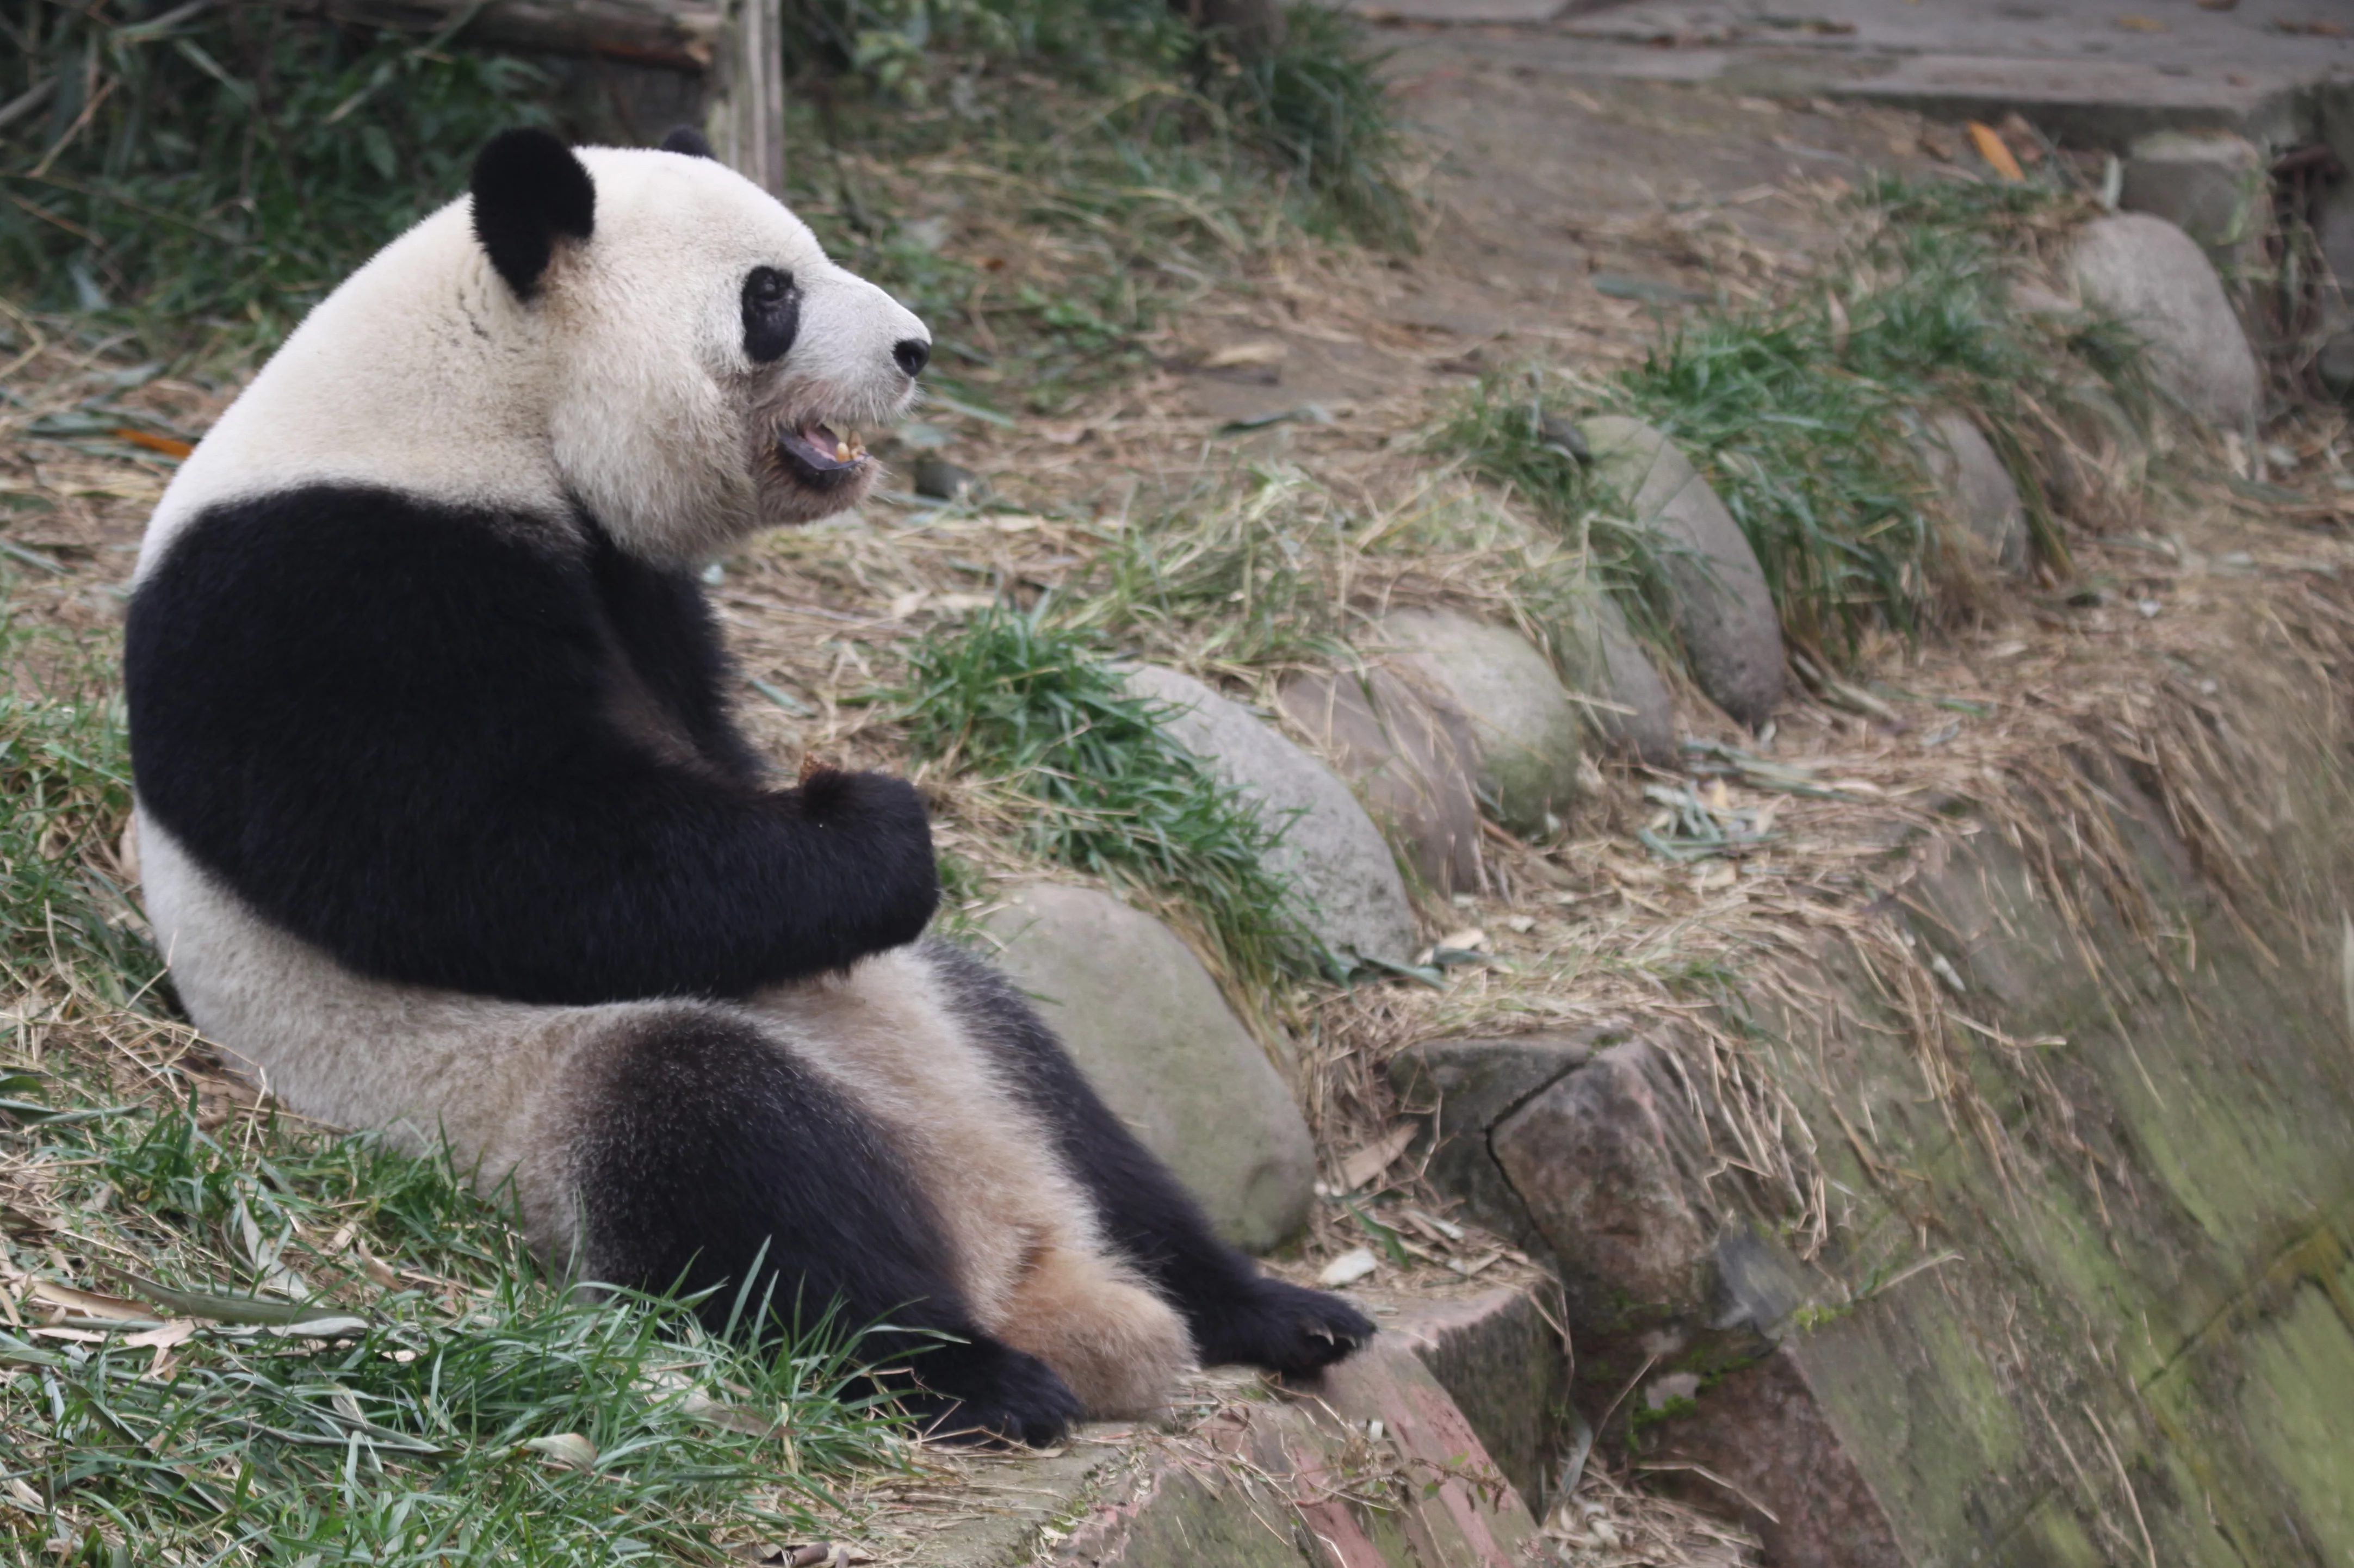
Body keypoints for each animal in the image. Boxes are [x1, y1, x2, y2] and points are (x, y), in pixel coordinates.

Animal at [122, 126, 1371, 1445]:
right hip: (523, 1098)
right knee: (729, 1151)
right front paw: (879, 825)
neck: (484, 393)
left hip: (964, 1034)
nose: (915, 348)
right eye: (771, 295)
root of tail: (1027, 1256)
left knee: (1077, 1112)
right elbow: (495, 859)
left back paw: (1271, 1308)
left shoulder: (630, 579)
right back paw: (966, 1368)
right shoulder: (324, 585)